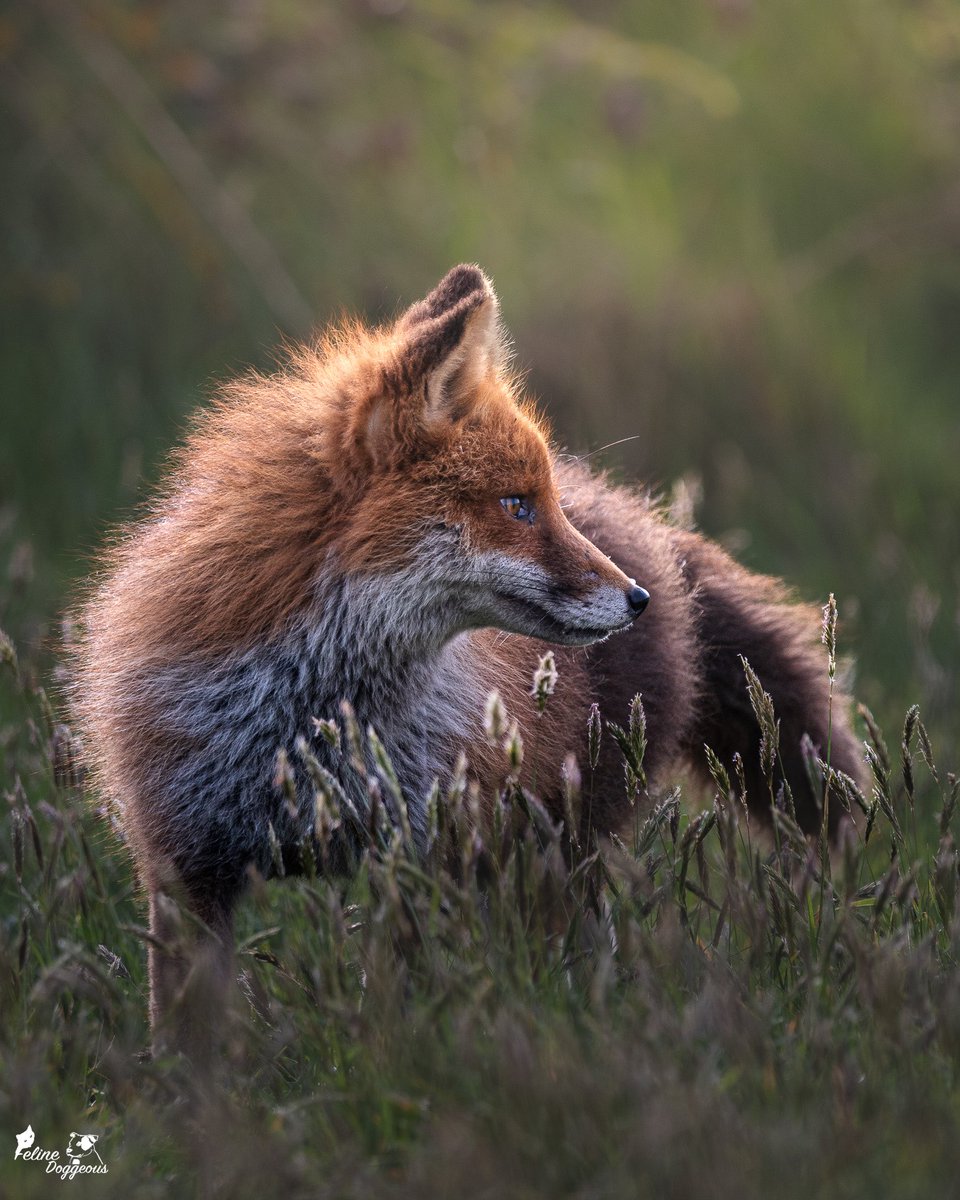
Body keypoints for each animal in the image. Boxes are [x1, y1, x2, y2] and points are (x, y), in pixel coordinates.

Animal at [71, 264, 863, 1055]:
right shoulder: (186, 864)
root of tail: (650, 528)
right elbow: (187, 1040)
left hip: (555, 850)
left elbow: (396, 1007)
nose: (635, 598)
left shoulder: (416, 858)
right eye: (518, 506)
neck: (308, 722)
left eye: (543, 504)